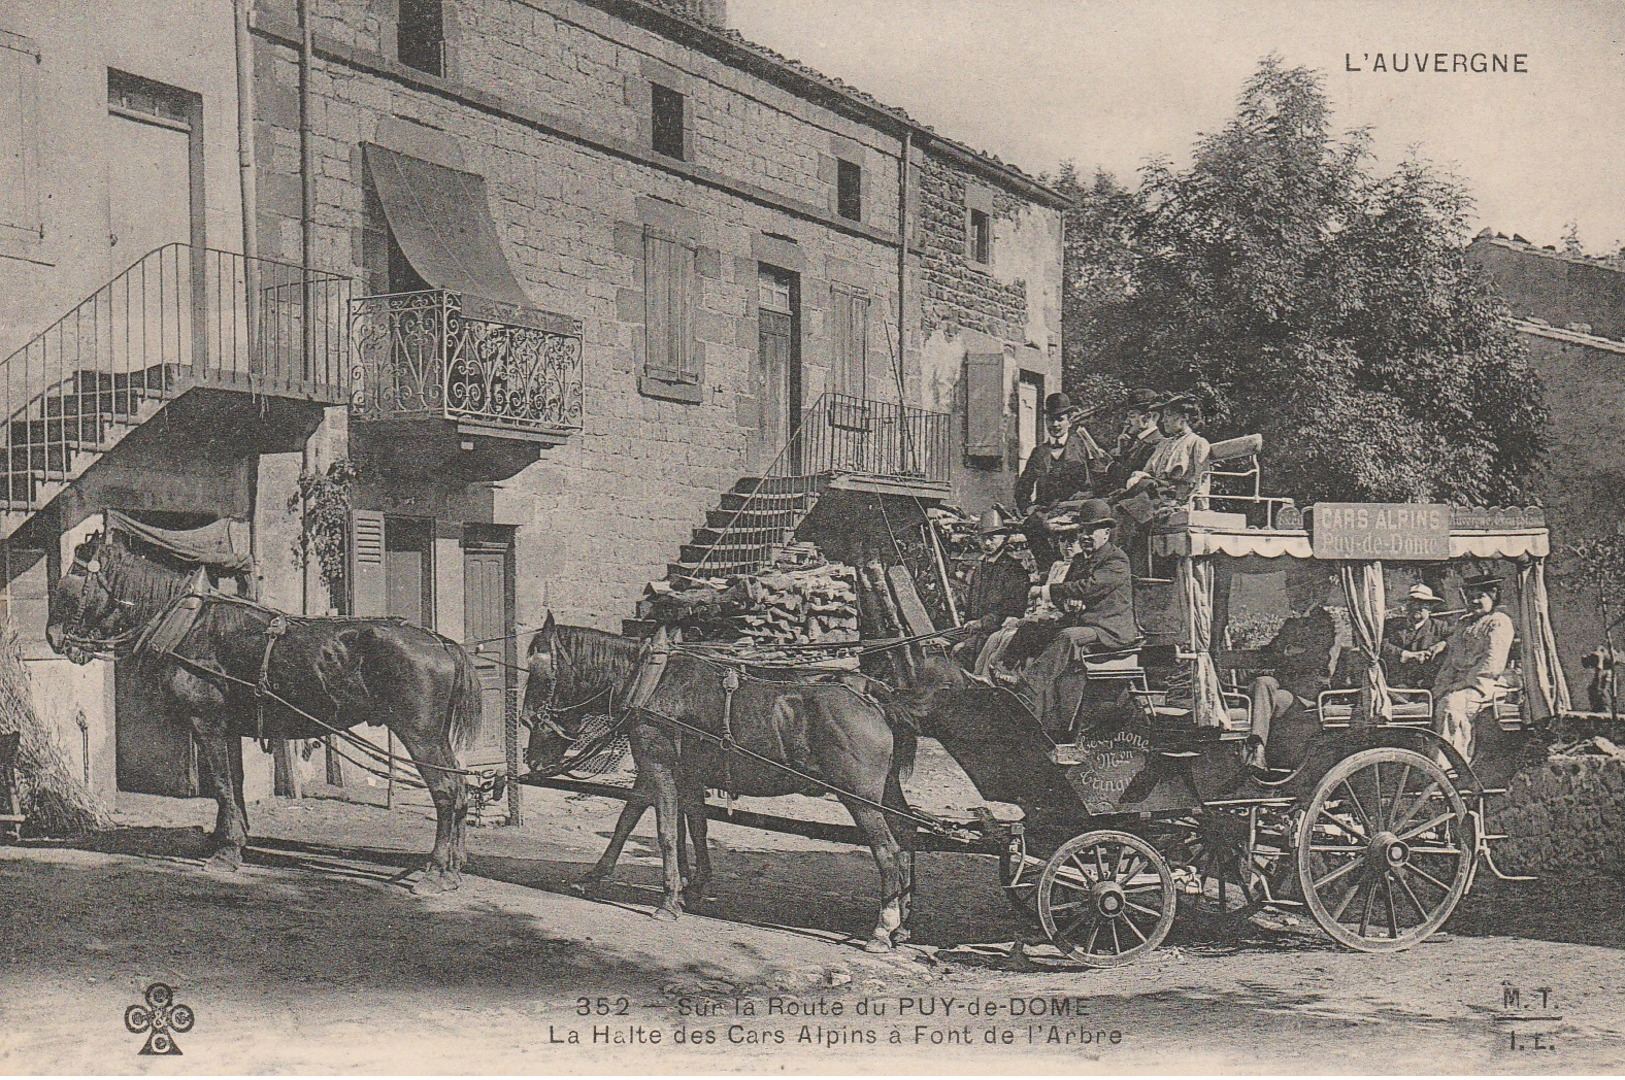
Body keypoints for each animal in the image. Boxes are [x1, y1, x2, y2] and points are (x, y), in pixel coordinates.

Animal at [46, 519, 481, 889]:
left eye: (73, 577)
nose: (52, 635)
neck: (191, 626)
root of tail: (442, 643)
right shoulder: (228, 727)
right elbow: (233, 785)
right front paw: (227, 840)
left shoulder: (206, 722)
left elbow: (222, 783)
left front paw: (226, 852)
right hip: (435, 739)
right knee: (460, 790)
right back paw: (452, 866)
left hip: (419, 735)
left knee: (446, 792)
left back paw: (437, 871)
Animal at [520, 613, 929, 954]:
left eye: (538, 672)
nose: (529, 744)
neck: (651, 683)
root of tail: (872, 695)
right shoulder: (679, 774)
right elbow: (669, 825)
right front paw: (610, 878)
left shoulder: (658, 766)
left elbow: (666, 832)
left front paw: (668, 901)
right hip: (886, 791)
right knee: (906, 834)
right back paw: (903, 923)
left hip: (860, 798)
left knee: (887, 851)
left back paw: (882, 929)